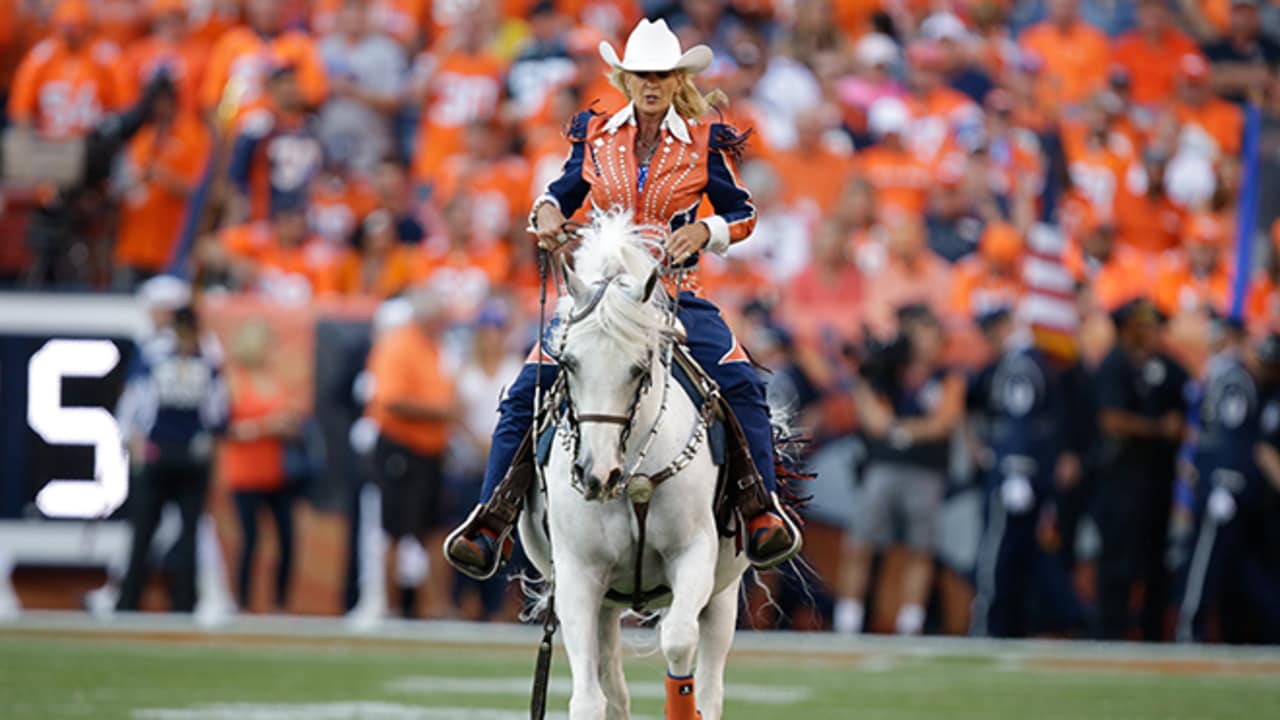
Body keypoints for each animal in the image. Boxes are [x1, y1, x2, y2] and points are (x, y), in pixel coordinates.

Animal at [519, 212, 752, 717]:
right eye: (568, 363)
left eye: (639, 368)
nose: (595, 474)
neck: (633, 479)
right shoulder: (579, 575)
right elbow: (588, 699)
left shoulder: (695, 554)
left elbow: (679, 642)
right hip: (608, 601)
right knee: (613, 684)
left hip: (724, 593)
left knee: (710, 682)